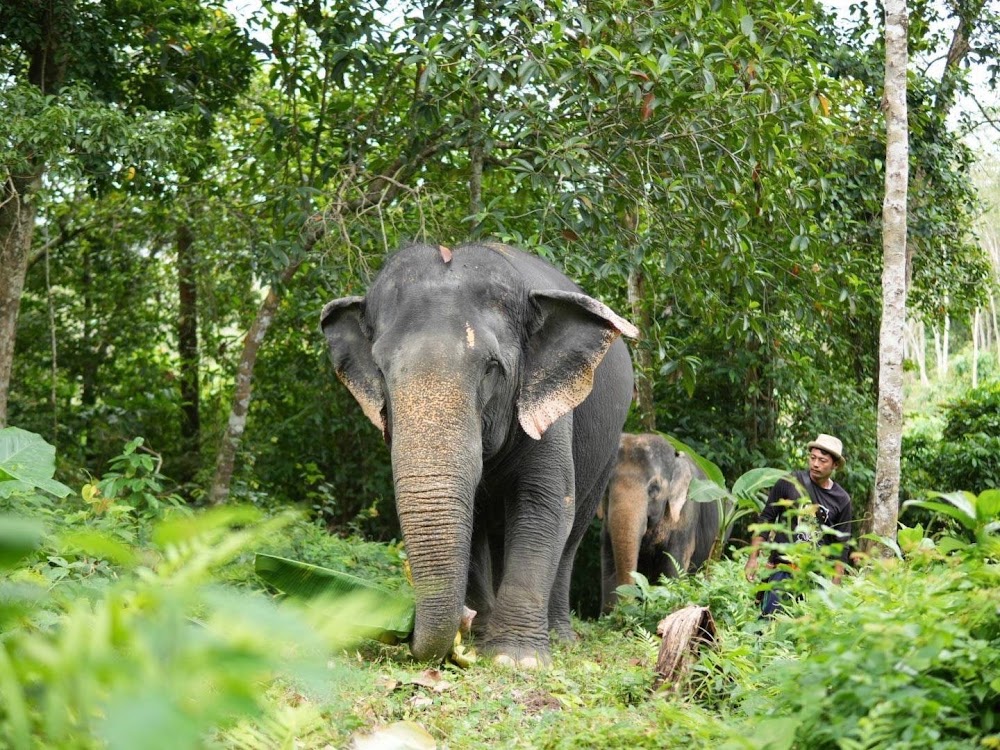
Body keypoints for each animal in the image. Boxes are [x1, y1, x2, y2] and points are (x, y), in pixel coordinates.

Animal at [321, 241, 637, 666]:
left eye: (491, 368)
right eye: (381, 370)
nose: (407, 634)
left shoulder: (548, 411)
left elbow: (545, 503)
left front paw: (515, 660)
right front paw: (477, 636)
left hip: (608, 452)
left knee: (572, 535)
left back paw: (559, 637)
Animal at [599, 433, 722, 613]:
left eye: (654, 489)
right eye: (606, 487)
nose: (631, 605)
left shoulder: (686, 515)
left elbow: (673, 568)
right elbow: (609, 567)